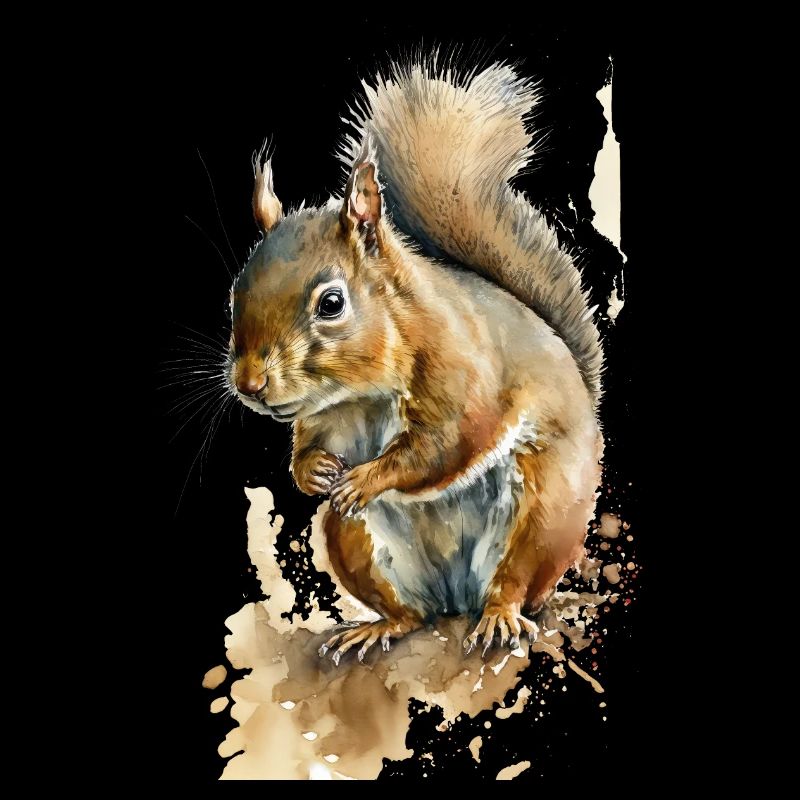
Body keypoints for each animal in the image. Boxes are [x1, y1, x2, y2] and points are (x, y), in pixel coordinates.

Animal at [227, 59, 604, 663]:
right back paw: (379, 626)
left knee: (516, 583)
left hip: (545, 513)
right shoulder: (328, 418)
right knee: (412, 613)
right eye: (233, 296)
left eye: (331, 303)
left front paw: (365, 479)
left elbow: (444, 443)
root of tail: (457, 597)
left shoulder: (464, 371)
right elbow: (311, 445)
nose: (249, 384)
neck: (363, 390)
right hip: (354, 542)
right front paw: (313, 472)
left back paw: (498, 616)